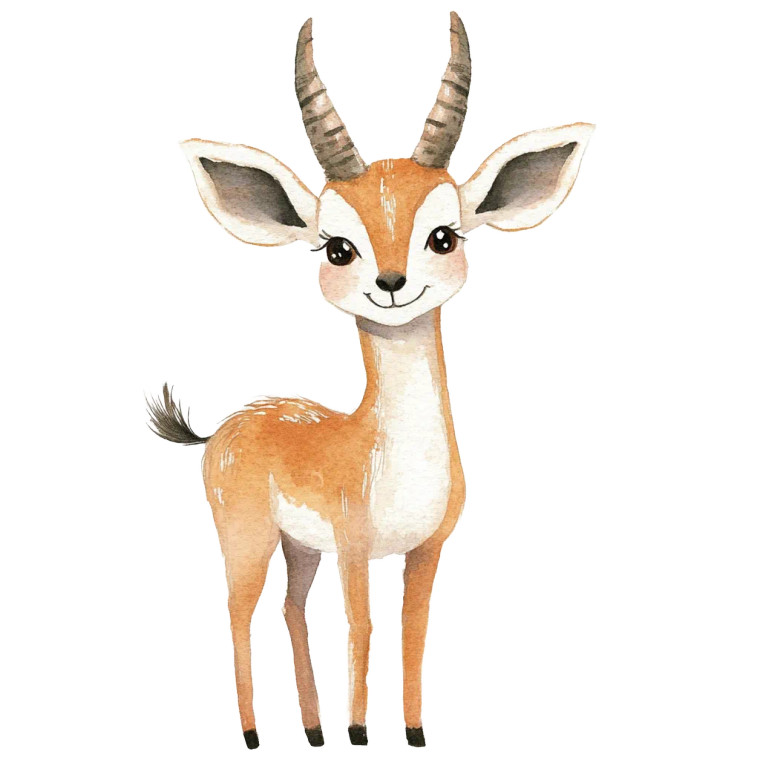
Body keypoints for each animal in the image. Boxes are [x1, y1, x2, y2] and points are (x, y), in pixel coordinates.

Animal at [148, 12, 593, 749]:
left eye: (443, 236)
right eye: (338, 247)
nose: (391, 283)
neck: (386, 450)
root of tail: (225, 425)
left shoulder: (428, 548)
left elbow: (415, 631)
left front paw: (412, 732)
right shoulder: (355, 548)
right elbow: (364, 623)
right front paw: (360, 731)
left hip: (300, 547)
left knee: (289, 609)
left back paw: (312, 729)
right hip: (248, 536)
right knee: (239, 610)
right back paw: (255, 734)